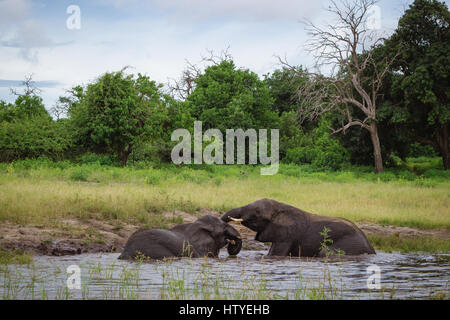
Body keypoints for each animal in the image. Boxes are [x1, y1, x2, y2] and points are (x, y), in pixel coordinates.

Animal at [220, 198, 374, 258]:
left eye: (257, 213)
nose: (230, 242)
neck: (279, 207)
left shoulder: (287, 235)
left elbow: (275, 254)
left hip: (350, 243)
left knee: (325, 253)